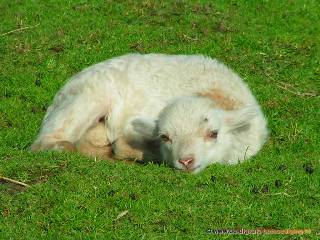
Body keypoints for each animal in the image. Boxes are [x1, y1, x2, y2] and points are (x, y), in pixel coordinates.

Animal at [31, 53, 268, 172]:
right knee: (47, 143)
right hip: (85, 99)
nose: (186, 161)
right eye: (164, 137)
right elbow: (125, 145)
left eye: (213, 133)